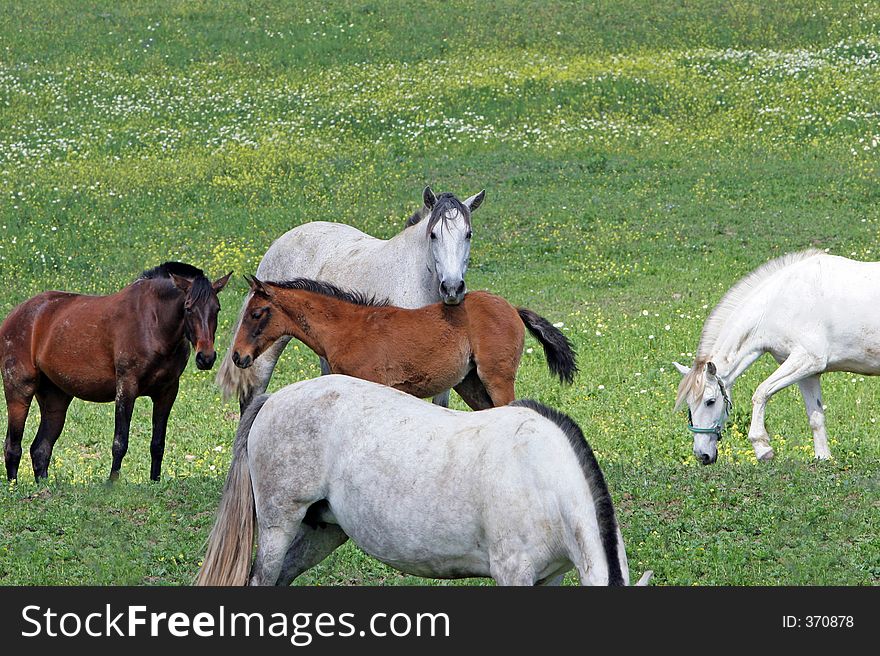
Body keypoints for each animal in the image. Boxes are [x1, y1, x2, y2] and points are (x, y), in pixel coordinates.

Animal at [0, 262, 232, 482]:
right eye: (188, 307)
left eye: (217, 308)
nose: (206, 357)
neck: (152, 322)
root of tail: (15, 315)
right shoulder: (126, 387)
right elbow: (120, 442)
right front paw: (112, 483)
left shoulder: (167, 392)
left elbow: (158, 443)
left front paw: (155, 481)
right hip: (19, 392)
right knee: (13, 446)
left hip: (56, 399)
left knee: (41, 449)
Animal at [199, 376, 652, 588]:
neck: (541, 475)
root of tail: (272, 399)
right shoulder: (512, 572)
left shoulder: (551, 576)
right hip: (279, 525)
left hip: (322, 531)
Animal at [220, 276, 576, 410]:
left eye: (256, 313)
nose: (238, 356)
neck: (345, 329)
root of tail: (513, 309)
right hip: (470, 383)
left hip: (497, 377)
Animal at [672, 249, 880, 464]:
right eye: (689, 404)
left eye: (710, 401)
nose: (702, 455)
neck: (779, 303)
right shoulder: (808, 374)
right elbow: (815, 417)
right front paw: (823, 457)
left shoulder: (807, 360)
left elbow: (761, 393)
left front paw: (762, 447)